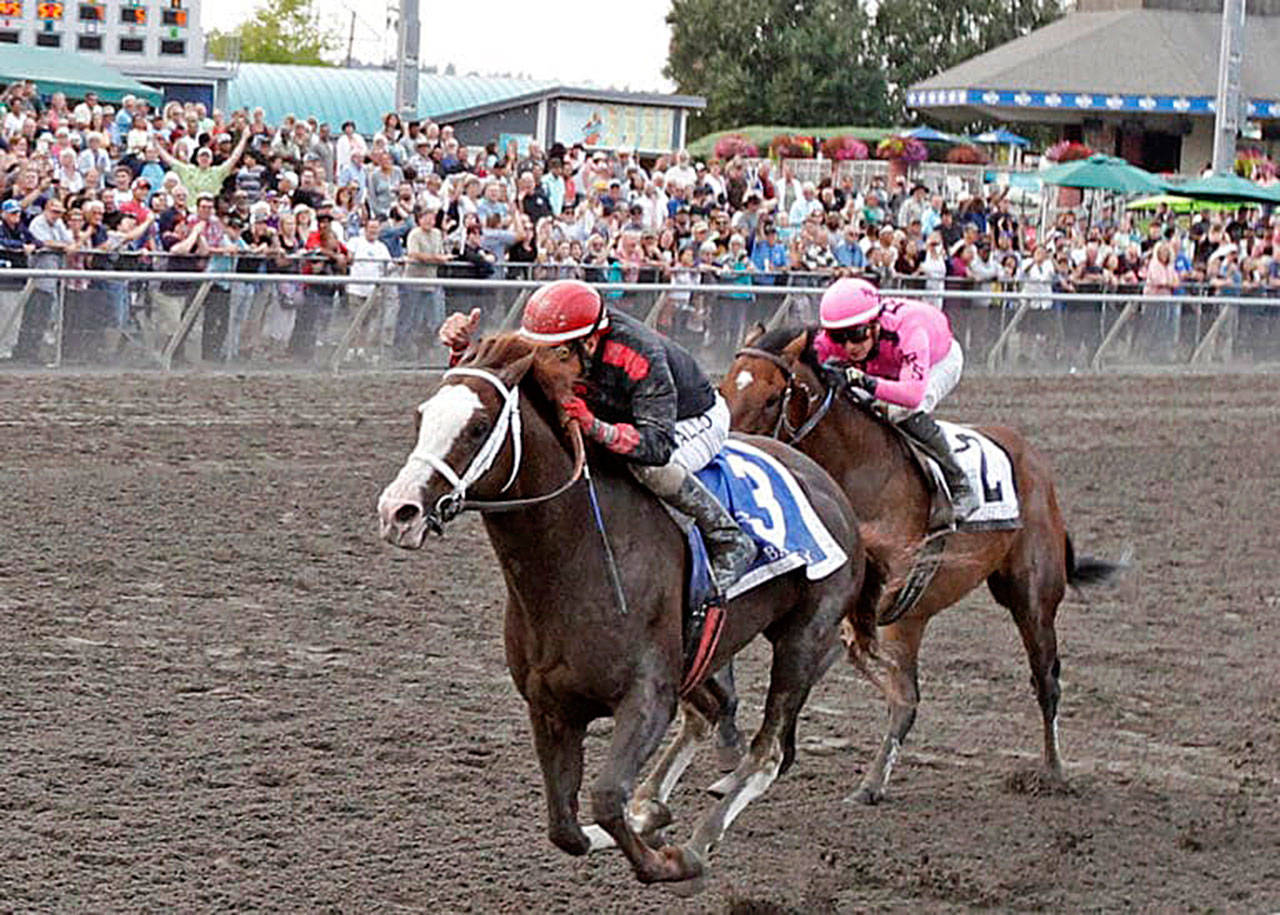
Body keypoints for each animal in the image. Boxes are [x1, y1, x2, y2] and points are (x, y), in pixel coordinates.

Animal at [373, 335, 885, 885]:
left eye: (477, 426)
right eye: (422, 416)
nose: (397, 511)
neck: (580, 554)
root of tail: (832, 489)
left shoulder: (648, 697)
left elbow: (605, 798)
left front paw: (668, 859)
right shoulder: (550, 707)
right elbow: (566, 828)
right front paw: (647, 821)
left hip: (803, 638)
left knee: (766, 751)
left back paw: (698, 844)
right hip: (708, 651)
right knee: (712, 712)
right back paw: (656, 807)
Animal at [721, 327, 1121, 803]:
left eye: (770, 399)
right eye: (723, 388)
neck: (861, 469)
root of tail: (1036, 463)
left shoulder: (887, 604)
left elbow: (886, 686)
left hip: (1031, 599)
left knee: (1045, 681)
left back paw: (1052, 772)